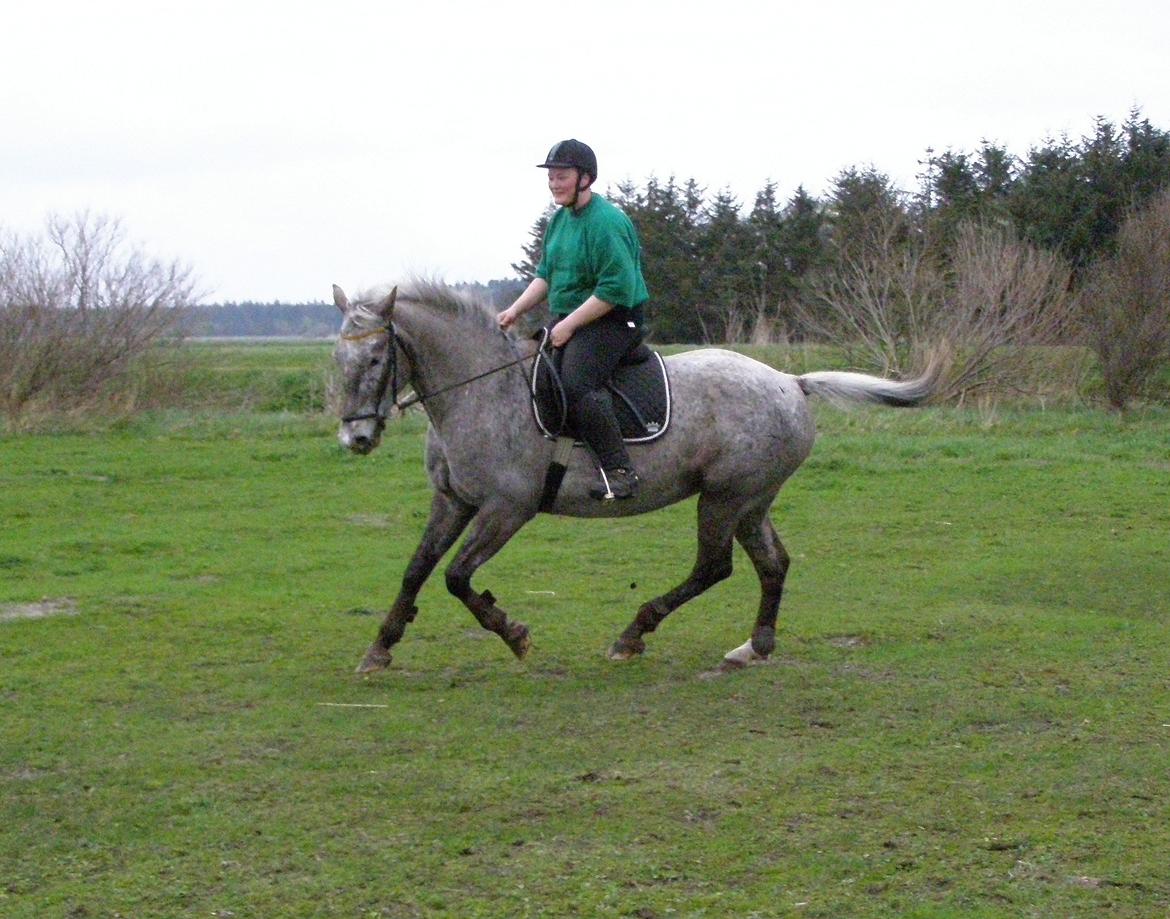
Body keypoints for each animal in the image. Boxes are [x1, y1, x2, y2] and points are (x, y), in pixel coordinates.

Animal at [332, 279, 940, 674]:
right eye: (338, 359)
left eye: (376, 359)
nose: (355, 439)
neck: (481, 390)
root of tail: (791, 383)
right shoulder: (452, 502)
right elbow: (417, 569)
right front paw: (380, 648)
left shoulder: (508, 508)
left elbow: (457, 577)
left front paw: (515, 636)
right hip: (751, 501)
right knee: (772, 564)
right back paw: (754, 647)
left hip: (724, 498)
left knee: (713, 567)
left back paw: (634, 634)